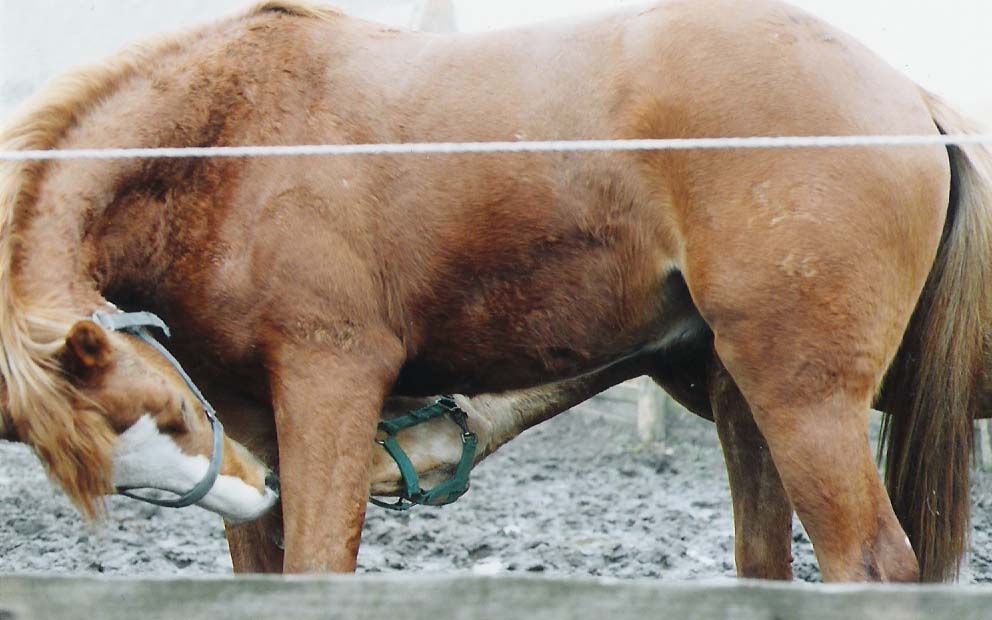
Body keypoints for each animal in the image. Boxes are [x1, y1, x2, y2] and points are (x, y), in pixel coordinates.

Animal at [1, 0, 992, 580]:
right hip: (744, 396)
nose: (247, 491)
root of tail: (910, 98)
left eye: (166, 415)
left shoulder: (329, 388)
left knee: (871, 565)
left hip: (802, 401)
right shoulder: (251, 420)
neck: (230, 136)